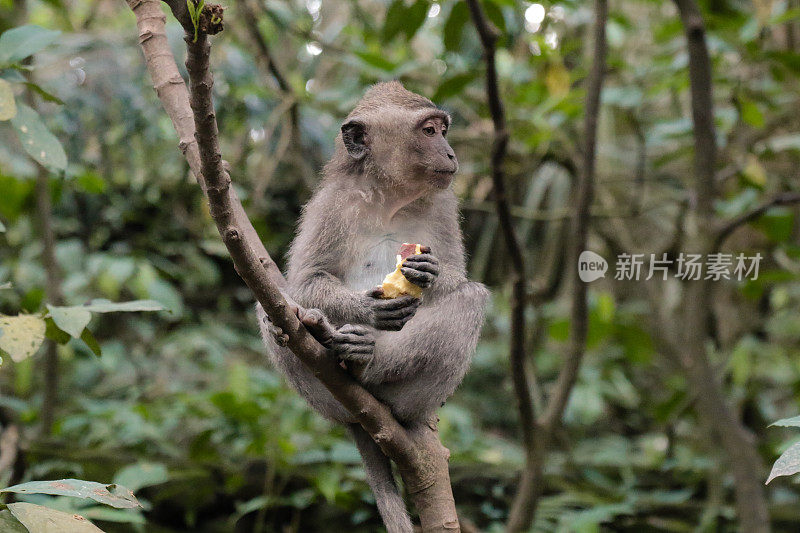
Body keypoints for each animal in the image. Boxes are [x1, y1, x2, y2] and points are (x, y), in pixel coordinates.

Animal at [260, 80, 490, 532]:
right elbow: (305, 281)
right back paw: (319, 333)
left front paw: (431, 272)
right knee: (272, 302)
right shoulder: (332, 204)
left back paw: (370, 367)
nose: (451, 154)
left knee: (472, 299)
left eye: (443, 130)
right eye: (429, 131)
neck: (390, 198)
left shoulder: (444, 203)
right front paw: (366, 311)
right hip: (322, 397)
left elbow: (457, 276)